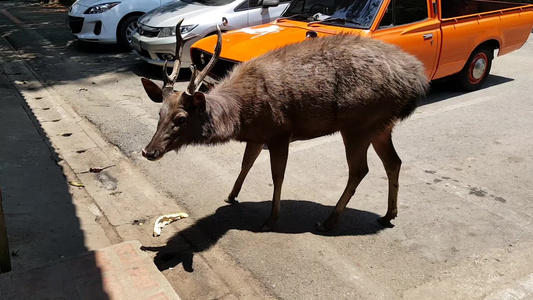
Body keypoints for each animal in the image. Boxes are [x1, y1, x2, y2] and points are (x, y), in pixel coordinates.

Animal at [139, 19, 426, 232]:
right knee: (393, 162)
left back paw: (330, 221)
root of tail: (417, 80)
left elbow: (277, 175)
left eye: (181, 119)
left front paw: (271, 219)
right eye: (160, 113)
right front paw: (231, 195)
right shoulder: (258, 135)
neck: (240, 116)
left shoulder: (279, 131)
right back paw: (388, 215)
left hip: (358, 122)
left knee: (360, 170)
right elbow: (246, 164)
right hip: (382, 123)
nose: (148, 151)